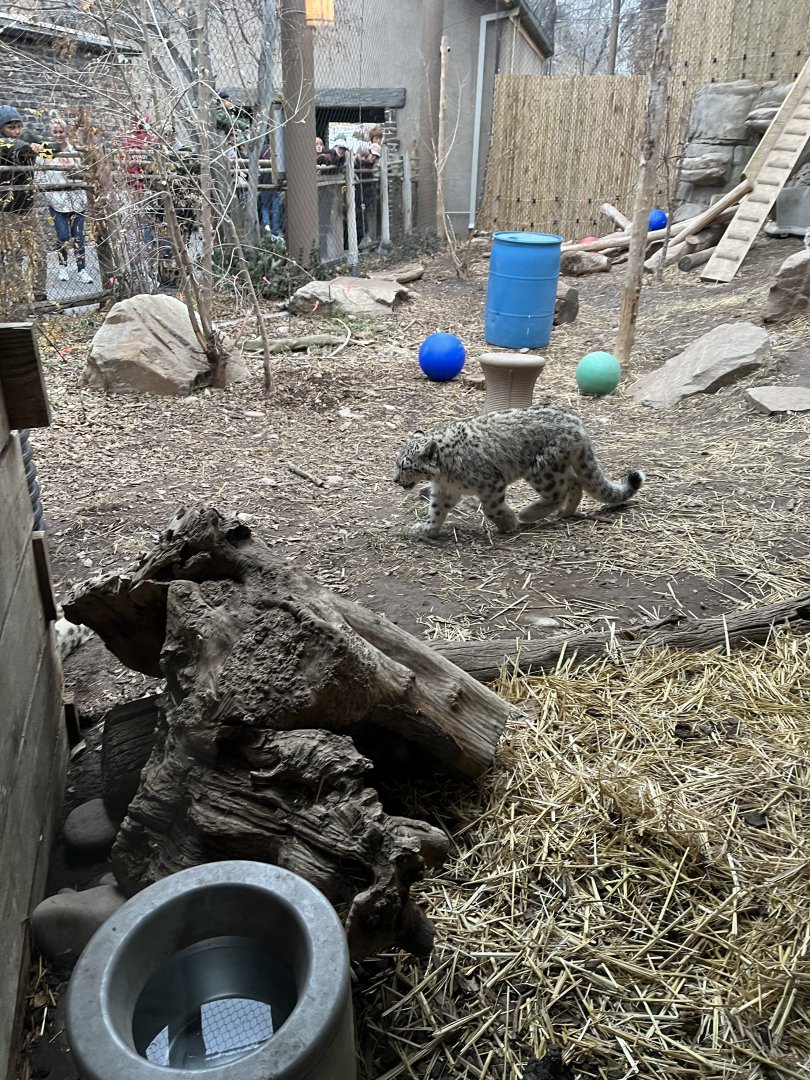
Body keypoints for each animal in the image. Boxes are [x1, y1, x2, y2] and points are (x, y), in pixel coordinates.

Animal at [393, 405, 645, 541]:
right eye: (397, 463)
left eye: (406, 466)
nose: (395, 479)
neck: (443, 476)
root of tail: (577, 424)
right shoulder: (445, 491)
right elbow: (436, 511)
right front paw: (427, 529)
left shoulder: (490, 484)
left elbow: (491, 509)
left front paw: (508, 523)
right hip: (555, 468)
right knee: (576, 482)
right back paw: (565, 512)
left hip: (541, 471)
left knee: (559, 491)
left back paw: (528, 513)